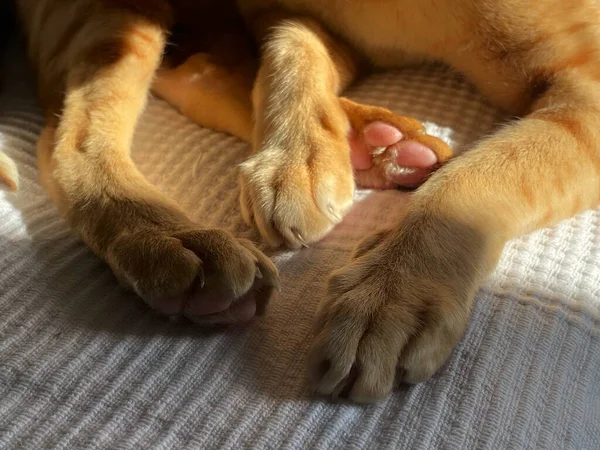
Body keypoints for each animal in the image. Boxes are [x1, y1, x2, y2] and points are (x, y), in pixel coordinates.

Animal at [4, 0, 600, 400]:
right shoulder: (286, 13)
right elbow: (288, 55)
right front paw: (298, 158)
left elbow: (478, 175)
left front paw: (393, 293)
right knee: (68, 135)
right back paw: (176, 241)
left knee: (194, 70)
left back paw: (376, 144)